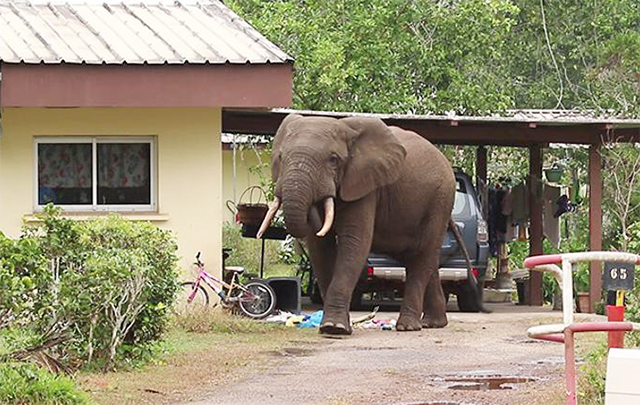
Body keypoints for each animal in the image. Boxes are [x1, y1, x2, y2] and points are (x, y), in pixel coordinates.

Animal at [257, 113, 464, 335]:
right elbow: (320, 249)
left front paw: (335, 328)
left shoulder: (365, 185)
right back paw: (433, 323)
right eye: (281, 157)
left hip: (440, 201)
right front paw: (333, 326)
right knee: (422, 258)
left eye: (333, 160)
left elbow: (354, 242)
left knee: (422, 255)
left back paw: (408, 326)